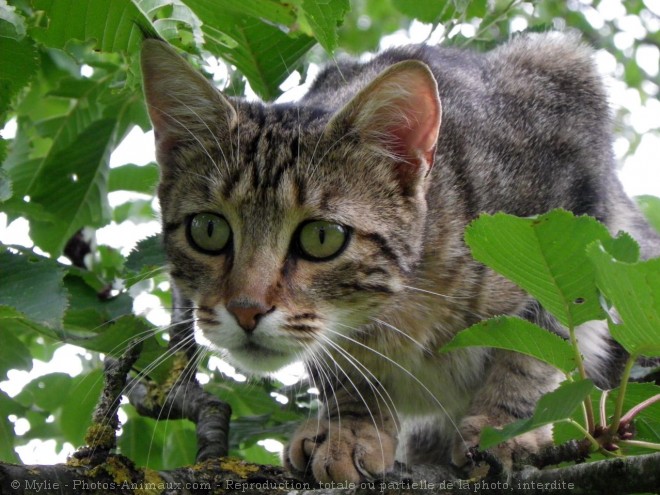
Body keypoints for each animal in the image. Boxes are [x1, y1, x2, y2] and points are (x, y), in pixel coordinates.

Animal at [141, 35, 660, 484]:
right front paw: (349, 426)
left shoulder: (571, 166)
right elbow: (342, 371)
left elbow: (539, 346)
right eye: (208, 230)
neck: (405, 303)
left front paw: (504, 425)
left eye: (322, 237)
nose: (245, 309)